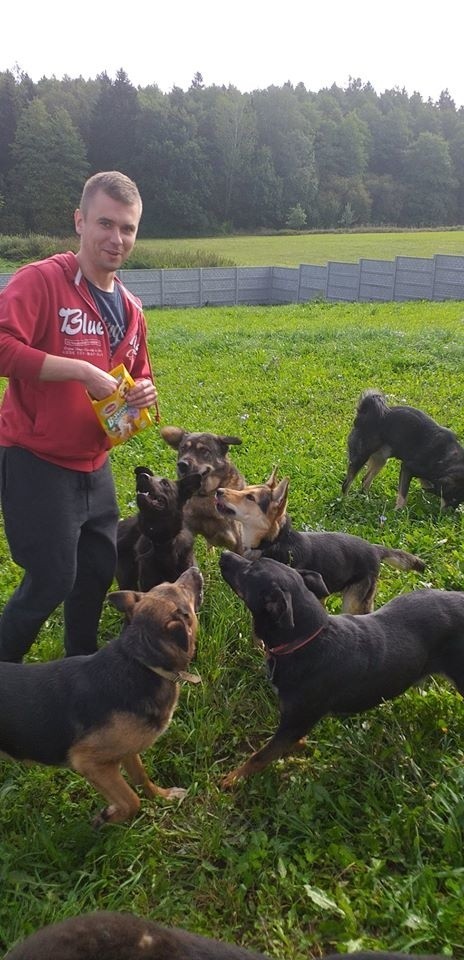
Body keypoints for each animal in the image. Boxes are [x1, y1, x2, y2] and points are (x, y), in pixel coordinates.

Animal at [0, 568, 203, 824]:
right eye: (183, 592)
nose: (194, 570)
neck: (141, 661)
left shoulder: (127, 751)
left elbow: (141, 778)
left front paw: (162, 797)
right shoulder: (89, 762)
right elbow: (131, 800)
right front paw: (109, 816)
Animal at [214, 474, 424, 616]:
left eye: (250, 498)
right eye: (244, 489)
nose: (219, 491)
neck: (273, 541)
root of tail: (374, 549)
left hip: (354, 601)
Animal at [219, 548, 464, 788]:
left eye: (249, 572)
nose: (223, 554)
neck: (306, 638)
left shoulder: (295, 721)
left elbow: (260, 756)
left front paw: (232, 779)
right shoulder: (296, 723)